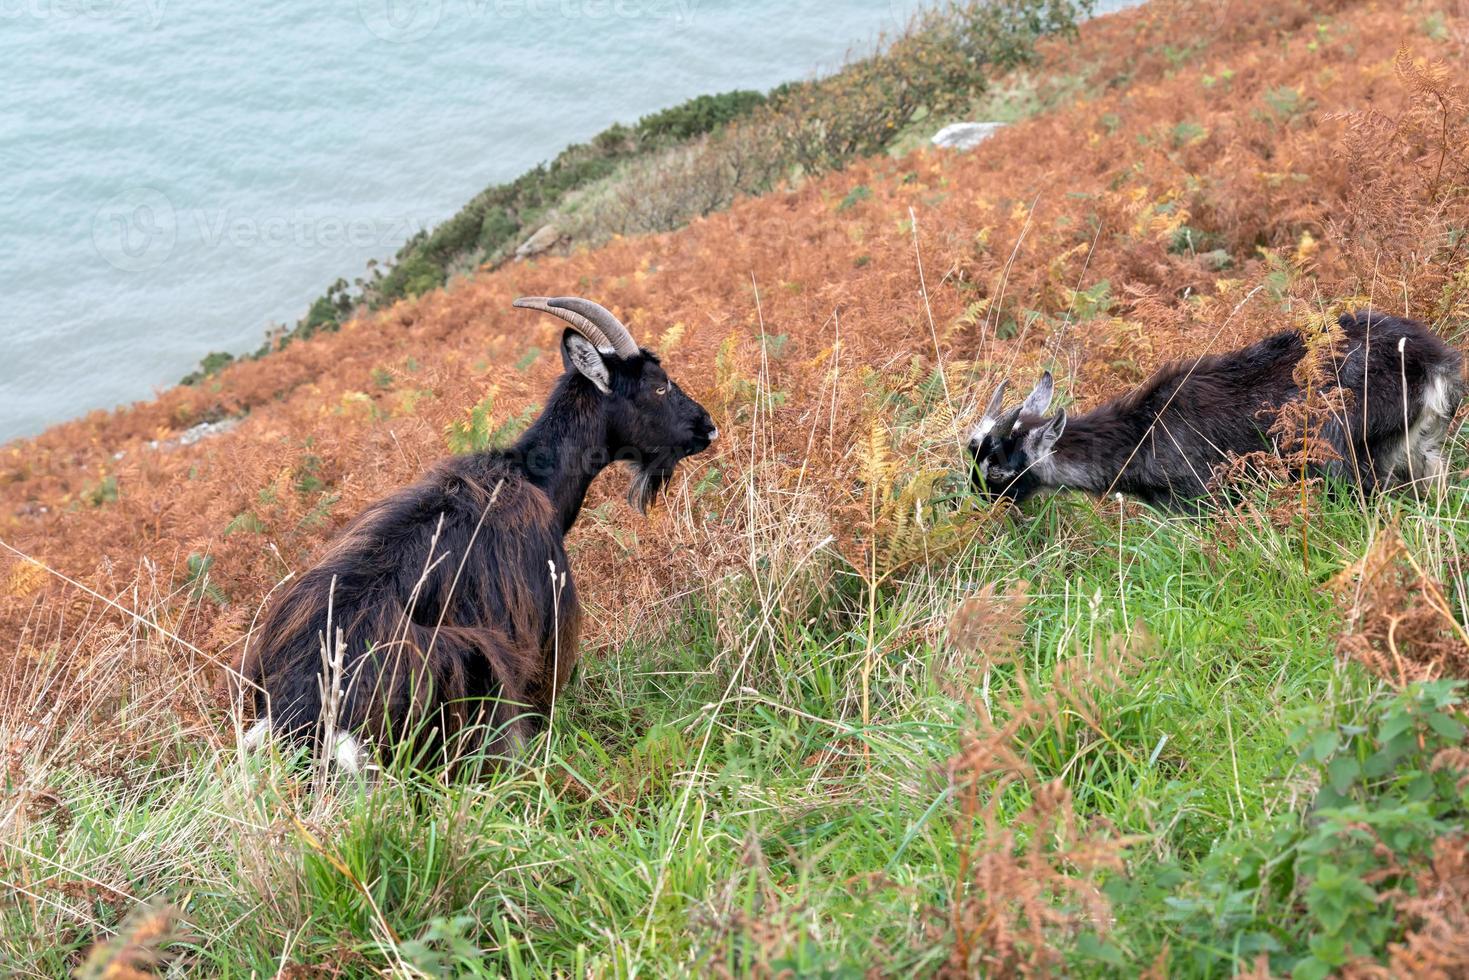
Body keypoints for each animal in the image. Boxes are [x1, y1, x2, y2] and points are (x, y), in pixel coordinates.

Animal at [969, 312, 1463, 514]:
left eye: (997, 471)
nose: (976, 504)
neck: (1142, 434)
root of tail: (1434, 365)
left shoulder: (1205, 496)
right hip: (1418, 448)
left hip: (1342, 453)